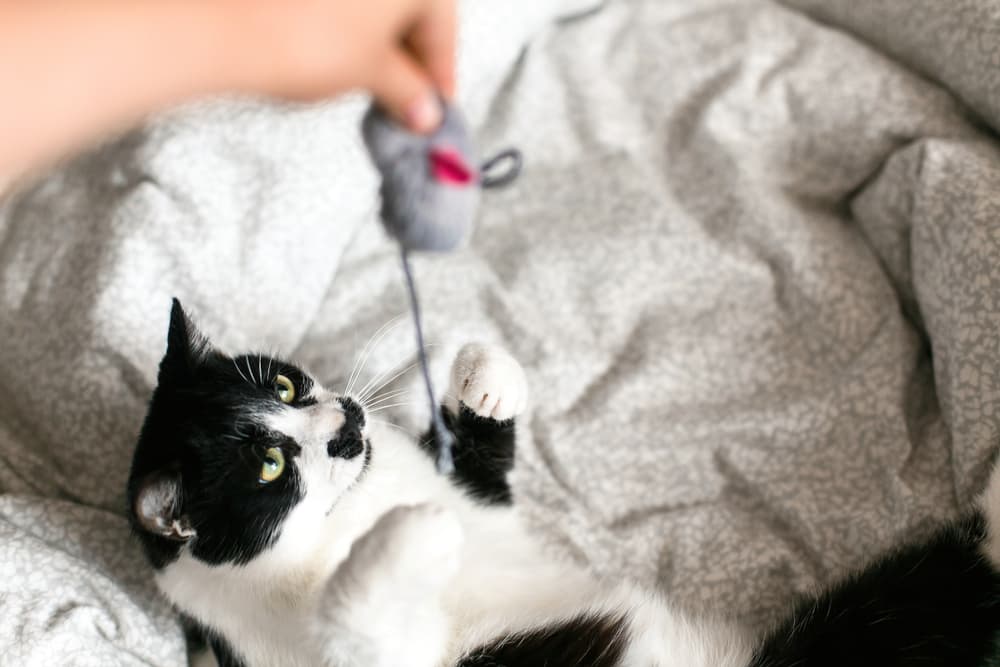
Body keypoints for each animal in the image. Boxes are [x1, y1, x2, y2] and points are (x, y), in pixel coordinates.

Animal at [129, 300, 1000, 664]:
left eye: (282, 384)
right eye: (270, 464)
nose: (346, 422)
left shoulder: (479, 498)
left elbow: (478, 462)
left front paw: (483, 374)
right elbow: (364, 616)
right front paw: (410, 538)